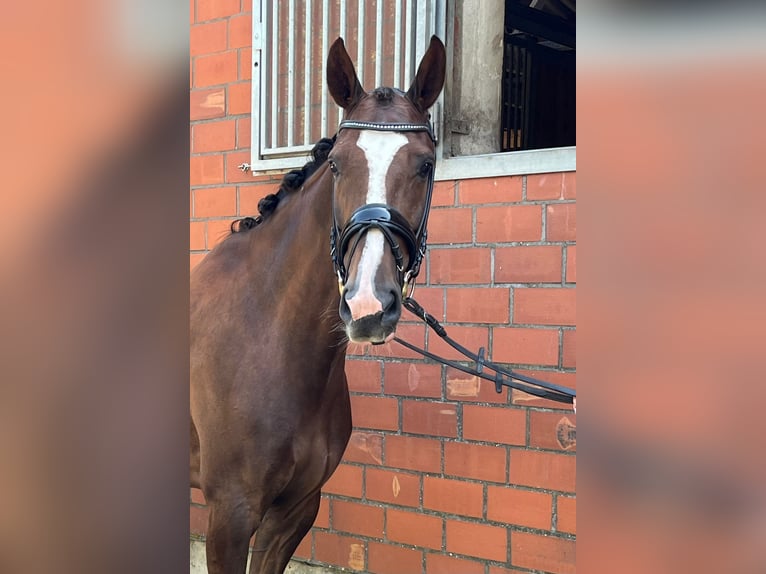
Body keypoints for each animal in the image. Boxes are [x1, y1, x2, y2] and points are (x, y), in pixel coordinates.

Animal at [189, 38, 448, 572]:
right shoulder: (228, 516)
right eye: (336, 165)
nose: (368, 305)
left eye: (426, 165)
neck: (269, 340)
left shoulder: (295, 511)